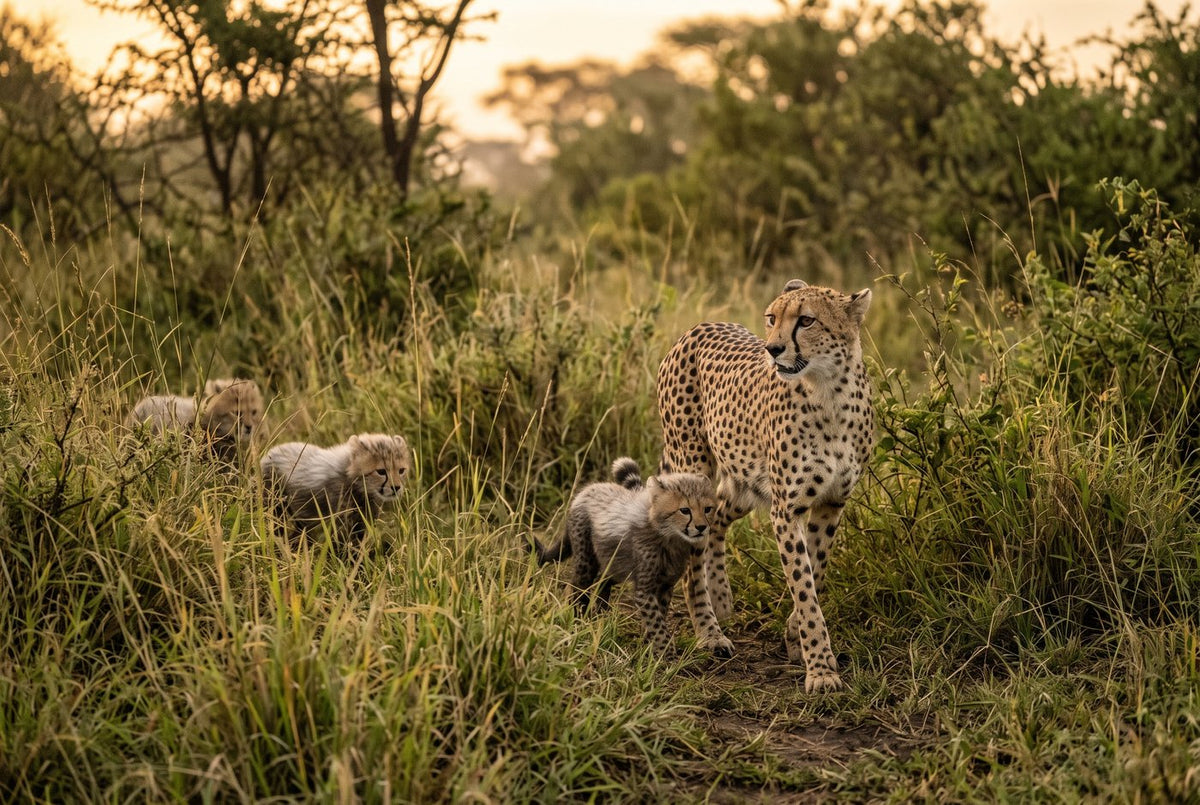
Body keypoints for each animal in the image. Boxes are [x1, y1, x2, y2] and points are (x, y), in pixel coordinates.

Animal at [532, 457, 718, 655]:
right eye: (685, 510)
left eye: (707, 509)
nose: (701, 527)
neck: (669, 537)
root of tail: (589, 489)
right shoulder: (645, 589)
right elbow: (656, 622)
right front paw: (665, 651)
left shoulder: (665, 585)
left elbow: (659, 614)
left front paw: (649, 644)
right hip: (587, 560)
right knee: (577, 585)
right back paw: (577, 618)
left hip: (615, 564)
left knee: (602, 580)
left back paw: (601, 614)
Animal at [656, 279, 874, 692]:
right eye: (772, 318)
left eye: (806, 320)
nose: (773, 349)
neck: (829, 392)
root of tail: (700, 326)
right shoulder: (786, 509)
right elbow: (803, 585)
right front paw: (821, 669)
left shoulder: (831, 502)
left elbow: (815, 572)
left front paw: (795, 637)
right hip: (693, 463)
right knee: (693, 539)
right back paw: (708, 631)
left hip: (747, 482)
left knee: (717, 516)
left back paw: (721, 598)